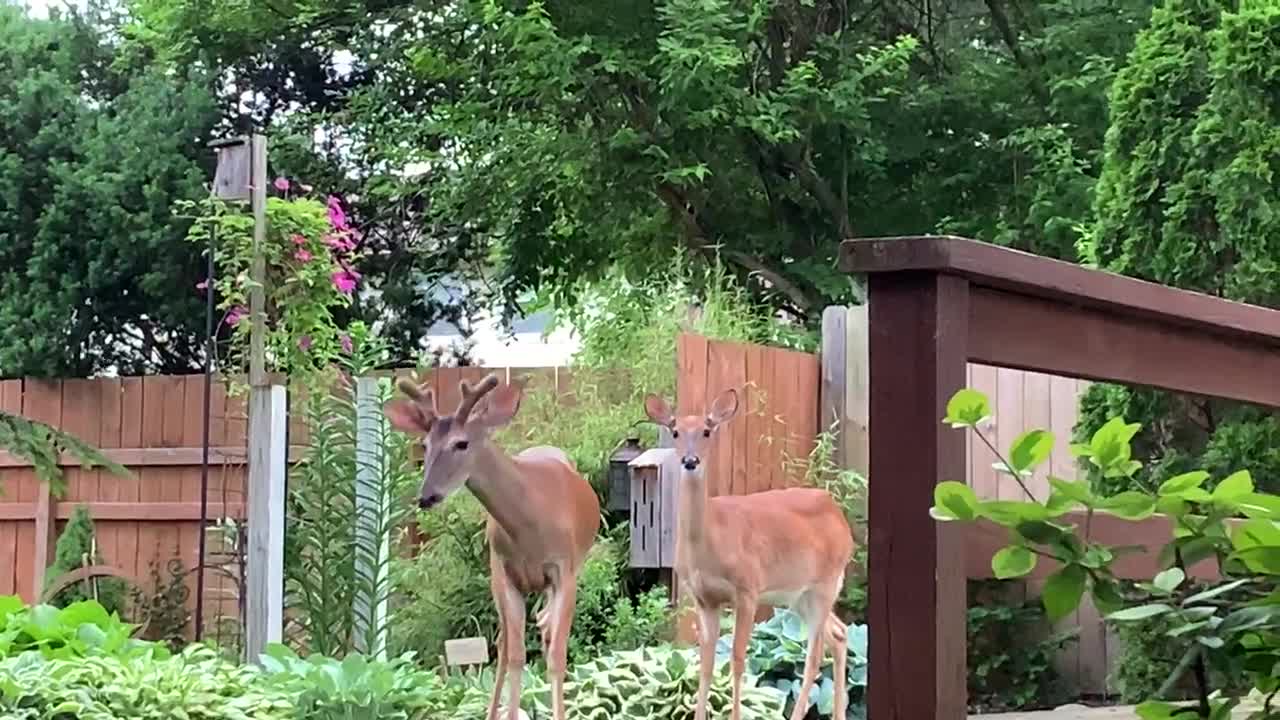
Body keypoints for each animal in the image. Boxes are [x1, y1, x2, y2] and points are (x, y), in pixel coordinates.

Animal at [384, 371, 599, 717]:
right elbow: (515, 656)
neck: (530, 527)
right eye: (425, 444)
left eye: (461, 443)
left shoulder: (564, 571)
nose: (426, 496)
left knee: (543, 628)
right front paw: (509, 713)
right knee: (504, 642)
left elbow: (557, 656)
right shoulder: (505, 572)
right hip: (496, 575)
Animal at [645, 386, 855, 717]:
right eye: (675, 431)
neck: (711, 540)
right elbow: (705, 663)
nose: (690, 461)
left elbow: (737, 659)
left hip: (825, 581)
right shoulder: (703, 598)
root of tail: (839, 516)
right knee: (839, 634)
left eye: (706, 431)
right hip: (799, 595)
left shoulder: (747, 589)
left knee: (815, 654)